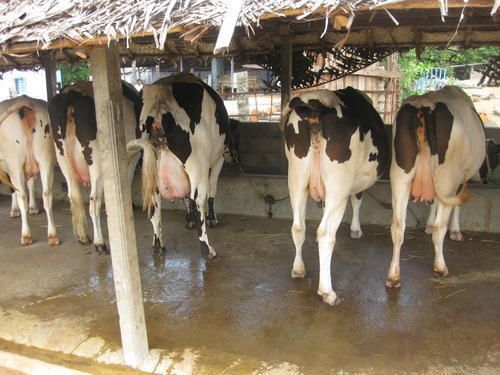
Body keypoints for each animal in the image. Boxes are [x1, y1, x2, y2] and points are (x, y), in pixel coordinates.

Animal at [0, 95, 59, 245]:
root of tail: (24, 104)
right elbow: (32, 184)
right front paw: (33, 208)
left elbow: (13, 189)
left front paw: (14, 210)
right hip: (45, 158)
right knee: (47, 193)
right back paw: (53, 235)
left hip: (15, 162)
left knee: (21, 194)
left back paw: (26, 235)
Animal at [284, 87, 388, 306]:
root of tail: (316, 102)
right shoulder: (356, 182)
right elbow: (357, 200)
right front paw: (356, 230)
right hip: (338, 185)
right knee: (325, 233)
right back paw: (327, 292)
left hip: (296, 178)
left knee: (298, 227)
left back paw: (298, 269)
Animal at [384, 86, 486, 288]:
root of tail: (424, 104)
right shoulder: (460, 180)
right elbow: (455, 206)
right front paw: (456, 231)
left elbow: (432, 203)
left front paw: (428, 225)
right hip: (447, 178)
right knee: (440, 227)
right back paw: (440, 267)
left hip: (400, 175)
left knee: (398, 225)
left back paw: (393, 276)